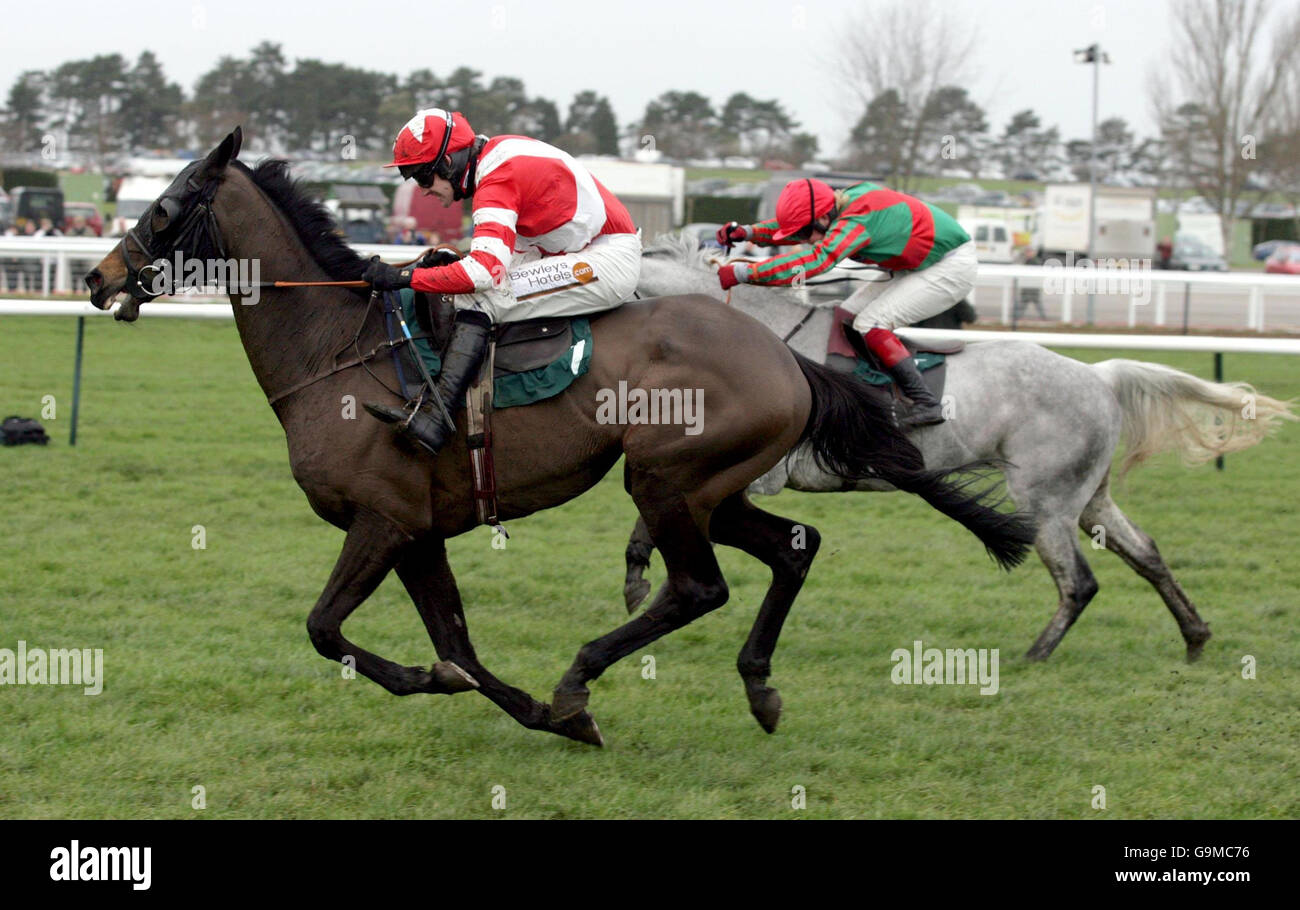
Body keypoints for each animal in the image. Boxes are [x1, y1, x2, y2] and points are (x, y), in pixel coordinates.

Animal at [83, 130, 1034, 748]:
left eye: (166, 206)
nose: (97, 279)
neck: (337, 352)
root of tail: (786, 356)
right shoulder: (418, 531)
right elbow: (457, 644)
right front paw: (528, 711)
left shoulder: (382, 522)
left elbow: (327, 629)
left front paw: (498, 696)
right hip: (717, 490)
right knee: (796, 546)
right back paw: (756, 686)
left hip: (666, 479)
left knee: (698, 587)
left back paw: (583, 678)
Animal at [624, 233, 1294, 660]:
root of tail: (1098, 375)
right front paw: (639, 580)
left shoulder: (753, 476)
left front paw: (652, 589)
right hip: (1090, 498)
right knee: (1147, 554)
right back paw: (1195, 636)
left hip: (1045, 501)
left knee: (1078, 582)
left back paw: (1035, 655)